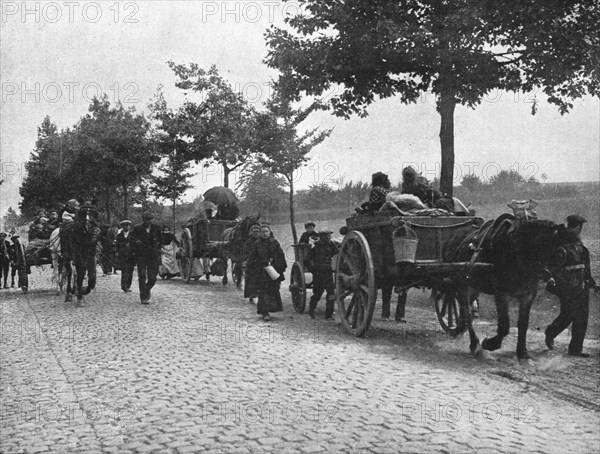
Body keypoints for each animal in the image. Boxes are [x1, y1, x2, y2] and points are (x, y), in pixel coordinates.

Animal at [446, 216, 584, 362]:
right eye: (562, 254)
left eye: (581, 252)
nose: (579, 284)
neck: (517, 252)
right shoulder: (501, 294)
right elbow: (504, 325)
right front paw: (490, 343)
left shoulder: (528, 295)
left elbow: (523, 324)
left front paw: (522, 352)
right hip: (462, 285)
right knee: (468, 314)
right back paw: (474, 344)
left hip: (473, 287)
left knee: (465, 312)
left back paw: (460, 330)